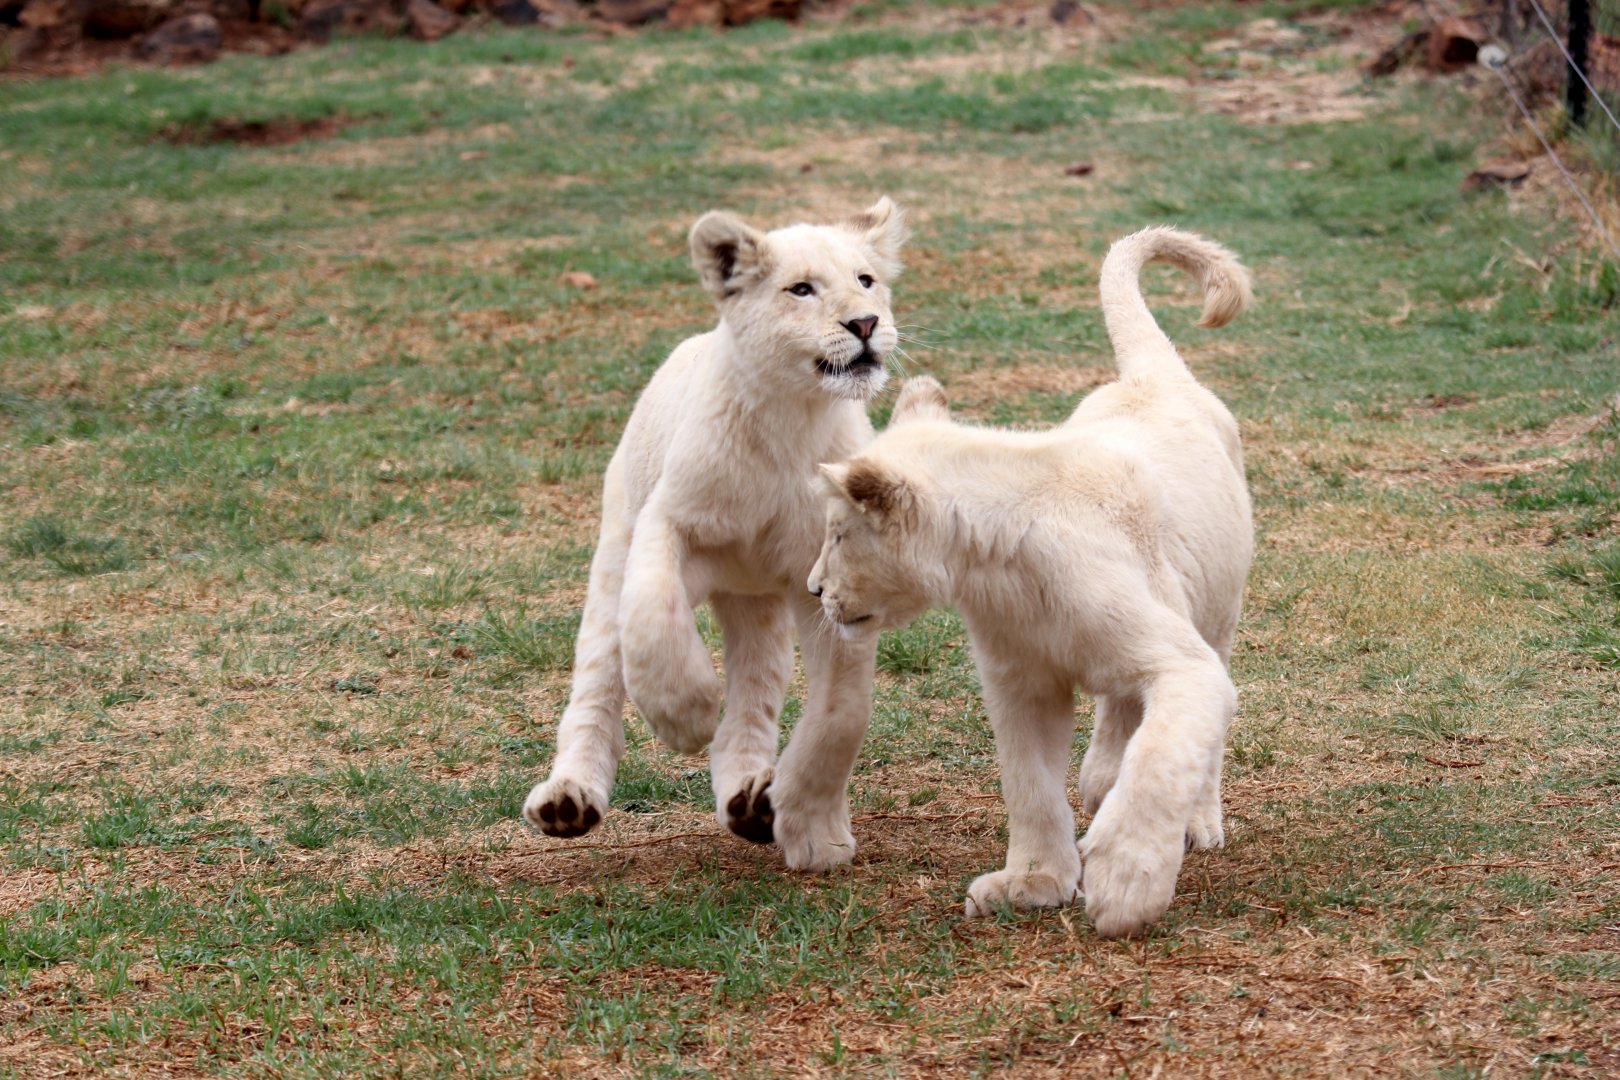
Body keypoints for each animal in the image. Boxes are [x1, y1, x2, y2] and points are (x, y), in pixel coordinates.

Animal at [522, 198, 909, 872]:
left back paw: (751, 801)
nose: (866, 323)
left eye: (866, 280)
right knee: (597, 678)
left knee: (754, 696)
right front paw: (685, 715)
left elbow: (842, 713)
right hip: (617, 548)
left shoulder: (831, 578)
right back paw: (569, 799)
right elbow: (653, 615)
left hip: (759, 603)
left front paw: (817, 833)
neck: (790, 418)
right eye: (801, 289)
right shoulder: (669, 523)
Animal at [809, 226, 1254, 938]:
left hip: (1216, 614)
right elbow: (1030, 784)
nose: (815, 590)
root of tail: (1152, 375)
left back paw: (1192, 821)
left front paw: (1124, 883)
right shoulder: (1020, 682)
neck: (999, 569)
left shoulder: (1181, 662)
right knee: (1117, 723)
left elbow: (1161, 762)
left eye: (840, 535)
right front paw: (1034, 883)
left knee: (1193, 731)